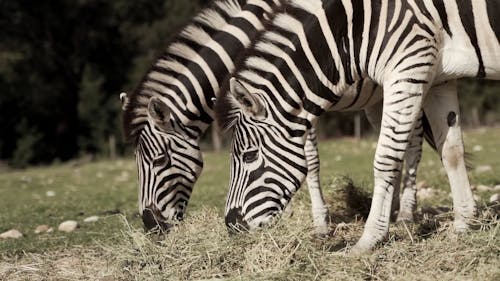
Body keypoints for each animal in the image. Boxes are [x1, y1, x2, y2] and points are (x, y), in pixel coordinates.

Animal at [217, 0, 498, 253]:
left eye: (249, 155)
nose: (231, 225)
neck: (354, 29)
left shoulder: (408, 66)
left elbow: (385, 158)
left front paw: (369, 239)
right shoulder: (440, 79)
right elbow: (451, 151)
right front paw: (463, 225)